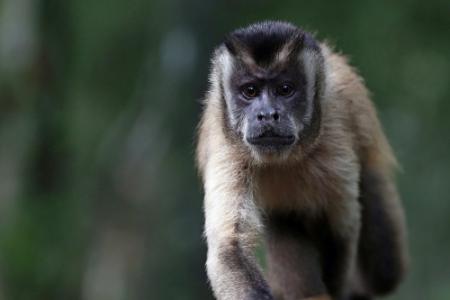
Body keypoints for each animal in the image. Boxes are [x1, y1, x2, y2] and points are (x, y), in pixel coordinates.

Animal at [196, 21, 408, 300]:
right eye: (250, 91)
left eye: (285, 89)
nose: (267, 114)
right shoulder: (225, 146)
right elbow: (229, 246)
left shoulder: (334, 134)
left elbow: (339, 231)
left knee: (384, 271)